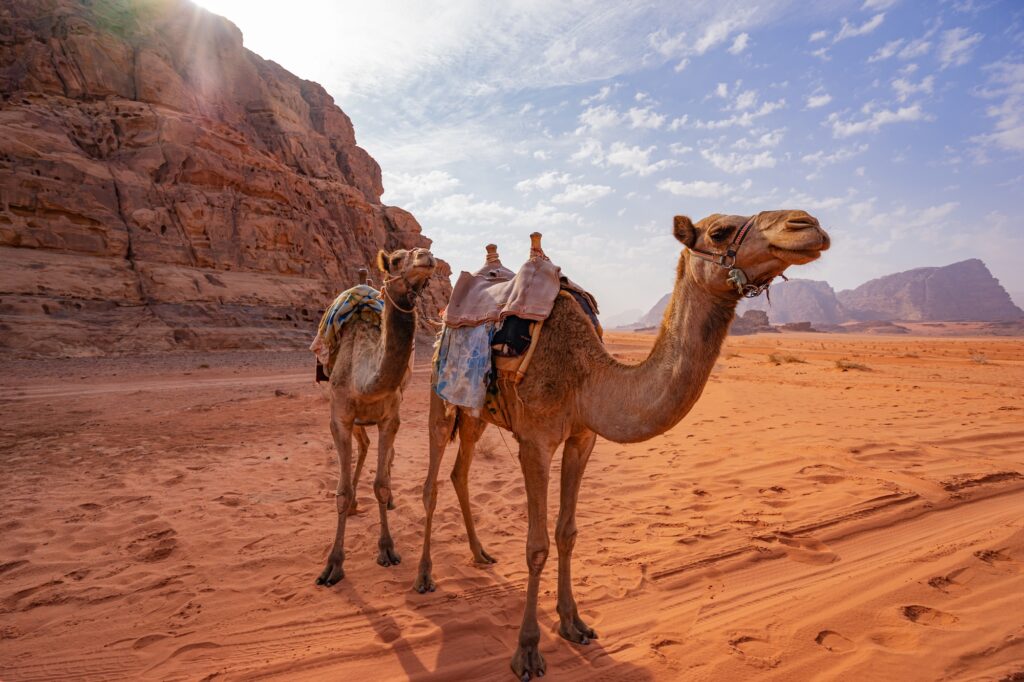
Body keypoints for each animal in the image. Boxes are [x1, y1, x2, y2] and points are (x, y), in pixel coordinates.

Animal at [315, 246, 436, 587]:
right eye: (395, 260)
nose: (426, 256)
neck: (364, 379)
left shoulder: (390, 417)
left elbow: (380, 484)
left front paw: (387, 549)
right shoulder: (339, 418)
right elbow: (341, 492)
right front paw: (333, 565)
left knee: (380, 452)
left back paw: (390, 497)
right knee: (363, 446)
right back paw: (355, 502)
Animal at [413, 210, 830, 680]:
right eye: (719, 231)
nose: (806, 224)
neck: (585, 373)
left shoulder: (583, 438)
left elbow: (567, 533)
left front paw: (574, 623)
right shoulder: (535, 442)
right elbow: (536, 546)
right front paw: (528, 651)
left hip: (475, 413)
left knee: (459, 472)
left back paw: (481, 553)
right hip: (439, 393)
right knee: (431, 481)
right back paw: (424, 576)